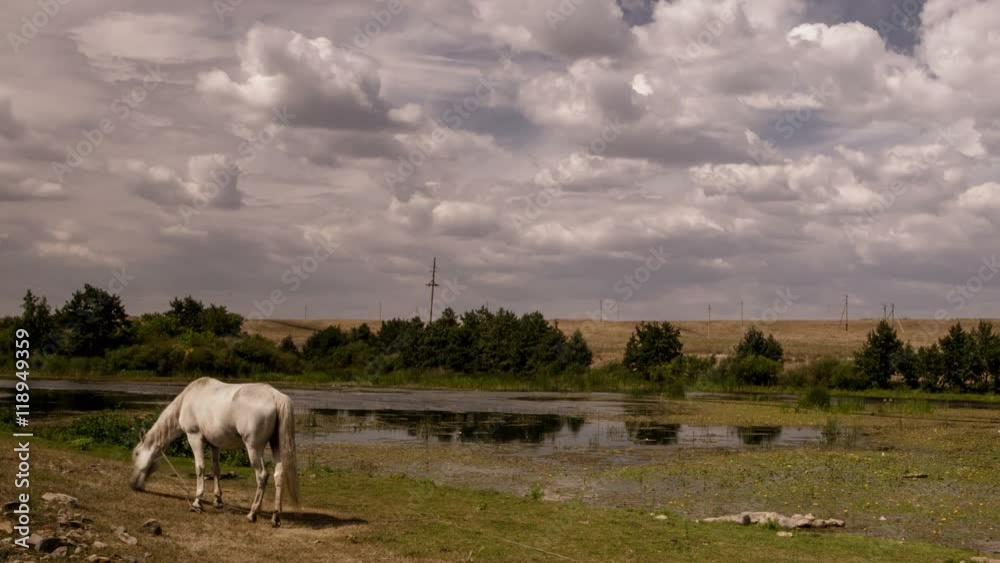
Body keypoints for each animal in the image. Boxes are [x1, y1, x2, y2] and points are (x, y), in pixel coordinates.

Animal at [129, 377, 300, 527]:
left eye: (136, 454)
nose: (132, 485)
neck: (188, 399)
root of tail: (275, 396)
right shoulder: (214, 444)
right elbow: (216, 469)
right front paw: (218, 500)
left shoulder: (194, 437)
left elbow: (200, 468)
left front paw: (197, 502)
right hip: (276, 446)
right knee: (278, 475)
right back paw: (275, 517)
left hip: (253, 448)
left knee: (262, 475)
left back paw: (252, 513)